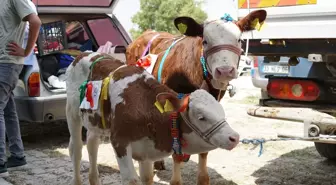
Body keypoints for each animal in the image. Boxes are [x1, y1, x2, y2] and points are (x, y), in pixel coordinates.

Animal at [65, 52, 239, 185]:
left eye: (221, 111)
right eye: (201, 117)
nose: (235, 137)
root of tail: (83, 54)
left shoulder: (146, 150)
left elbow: (147, 178)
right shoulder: (119, 141)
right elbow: (131, 180)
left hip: (94, 122)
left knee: (92, 145)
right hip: (72, 113)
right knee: (76, 149)